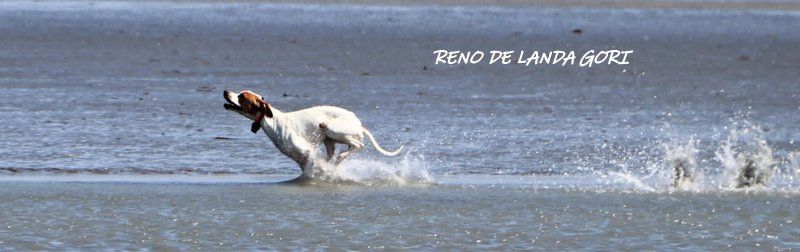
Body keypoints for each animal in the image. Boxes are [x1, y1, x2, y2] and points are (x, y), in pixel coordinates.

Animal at [222, 89, 404, 174]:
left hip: (331, 128)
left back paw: (342, 157)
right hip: (328, 139)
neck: (273, 121)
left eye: (242, 96)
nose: (225, 91)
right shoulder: (300, 158)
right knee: (336, 152)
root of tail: (358, 123)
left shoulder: (307, 152)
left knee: (359, 145)